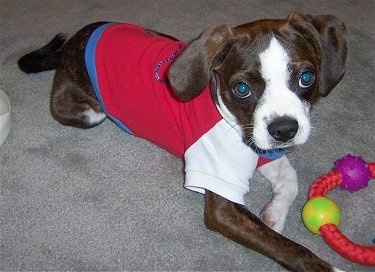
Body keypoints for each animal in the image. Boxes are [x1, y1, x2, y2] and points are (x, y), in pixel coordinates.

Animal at [17, 11, 346, 270]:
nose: (285, 129)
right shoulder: (222, 204)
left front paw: (274, 215)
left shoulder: (263, 146)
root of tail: (74, 41)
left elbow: (290, 179)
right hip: (84, 111)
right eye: (241, 88)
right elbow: (289, 249)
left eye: (307, 78)